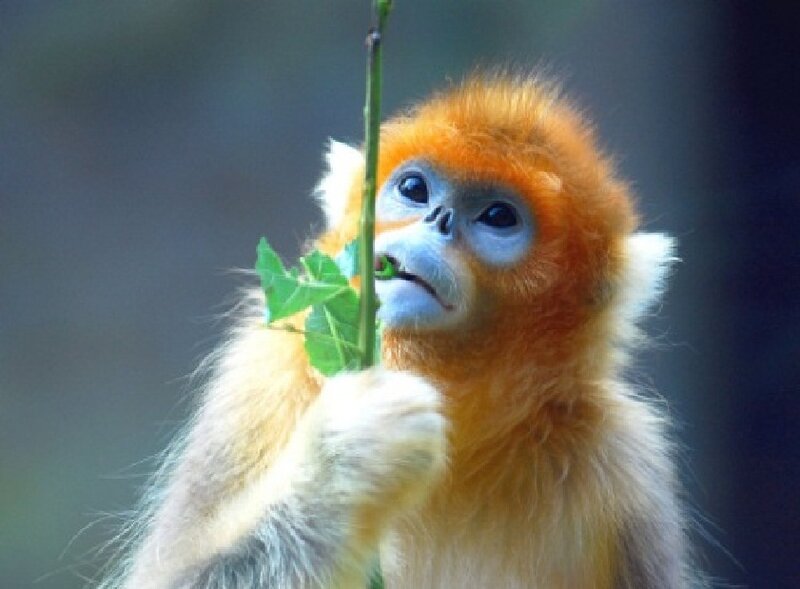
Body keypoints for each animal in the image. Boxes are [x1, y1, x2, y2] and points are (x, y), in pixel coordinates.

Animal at [102, 74, 701, 588]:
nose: (438, 220)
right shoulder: (260, 378)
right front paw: (351, 451)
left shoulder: (625, 458)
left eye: (499, 217)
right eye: (414, 187)